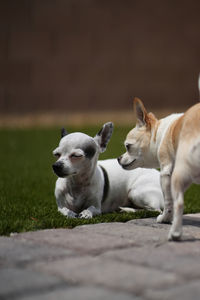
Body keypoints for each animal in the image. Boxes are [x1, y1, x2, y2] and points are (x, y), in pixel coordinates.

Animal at [118, 78, 200, 241]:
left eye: (128, 146)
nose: (118, 158)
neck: (160, 133)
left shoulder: (166, 173)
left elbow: (169, 201)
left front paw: (165, 219)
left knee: (179, 203)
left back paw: (175, 233)